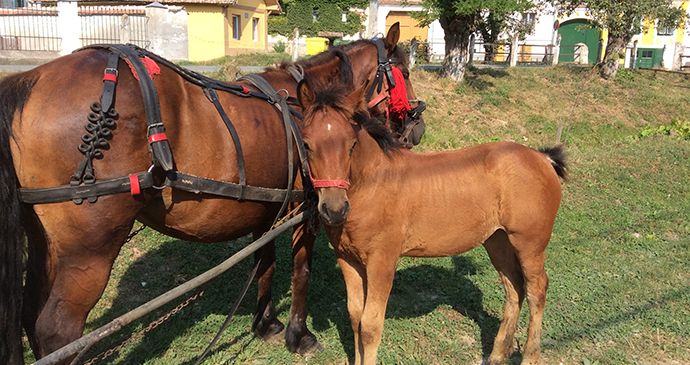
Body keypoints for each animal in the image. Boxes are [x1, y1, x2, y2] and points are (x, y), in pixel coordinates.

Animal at [0, 23, 424, 364]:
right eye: (403, 73)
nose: (417, 128)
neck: (305, 104)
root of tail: (28, 82)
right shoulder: (308, 210)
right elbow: (300, 271)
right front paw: (298, 336)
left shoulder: (267, 210)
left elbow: (264, 264)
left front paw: (266, 324)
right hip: (88, 250)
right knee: (57, 330)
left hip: (47, 243)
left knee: (30, 317)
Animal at [296, 82, 564, 364]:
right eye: (307, 144)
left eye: (352, 144)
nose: (335, 210)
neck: (373, 184)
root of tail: (543, 158)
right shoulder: (348, 259)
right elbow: (355, 318)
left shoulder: (382, 261)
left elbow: (370, 326)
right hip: (498, 241)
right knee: (514, 288)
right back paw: (496, 355)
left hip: (530, 244)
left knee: (537, 291)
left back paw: (530, 356)